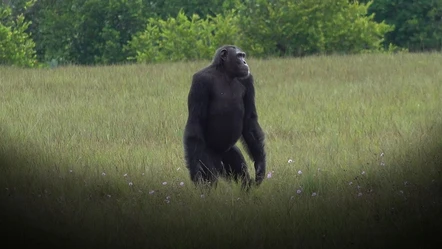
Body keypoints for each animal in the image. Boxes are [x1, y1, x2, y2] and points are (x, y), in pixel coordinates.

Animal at [182, 45, 266, 189]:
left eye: (243, 55)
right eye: (239, 56)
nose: (245, 62)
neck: (226, 74)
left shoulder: (248, 80)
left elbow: (249, 120)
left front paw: (260, 164)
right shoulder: (200, 82)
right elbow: (196, 121)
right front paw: (196, 173)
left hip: (229, 154)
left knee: (242, 175)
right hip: (206, 154)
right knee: (210, 179)